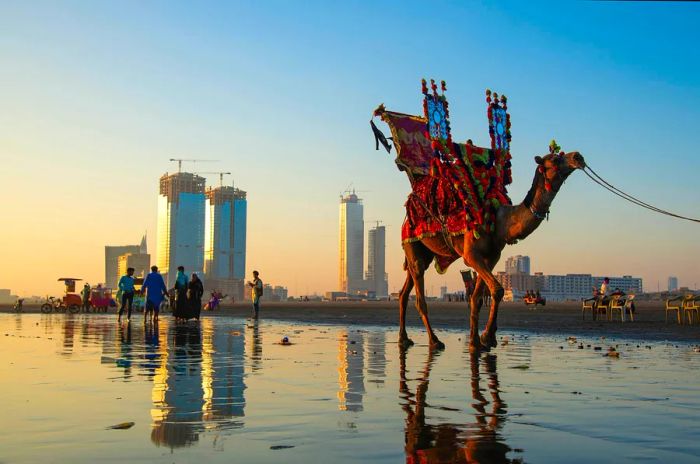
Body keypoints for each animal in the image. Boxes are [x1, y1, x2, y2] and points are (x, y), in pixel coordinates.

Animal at [400, 150, 584, 350]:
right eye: (555, 158)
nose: (578, 156)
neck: (500, 220)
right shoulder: (471, 255)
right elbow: (497, 290)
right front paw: (487, 337)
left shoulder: (492, 256)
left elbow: (478, 298)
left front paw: (477, 341)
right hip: (412, 244)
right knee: (419, 296)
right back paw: (434, 341)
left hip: (424, 253)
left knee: (404, 292)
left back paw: (404, 338)